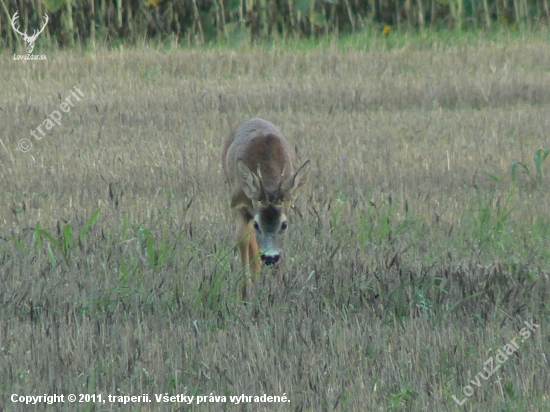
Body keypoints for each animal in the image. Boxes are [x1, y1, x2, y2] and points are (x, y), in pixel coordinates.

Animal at [223, 118, 310, 300]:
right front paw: (244, 296)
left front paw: (276, 293)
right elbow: (243, 242)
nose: (270, 258)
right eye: (258, 224)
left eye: (284, 224)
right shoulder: (238, 206)